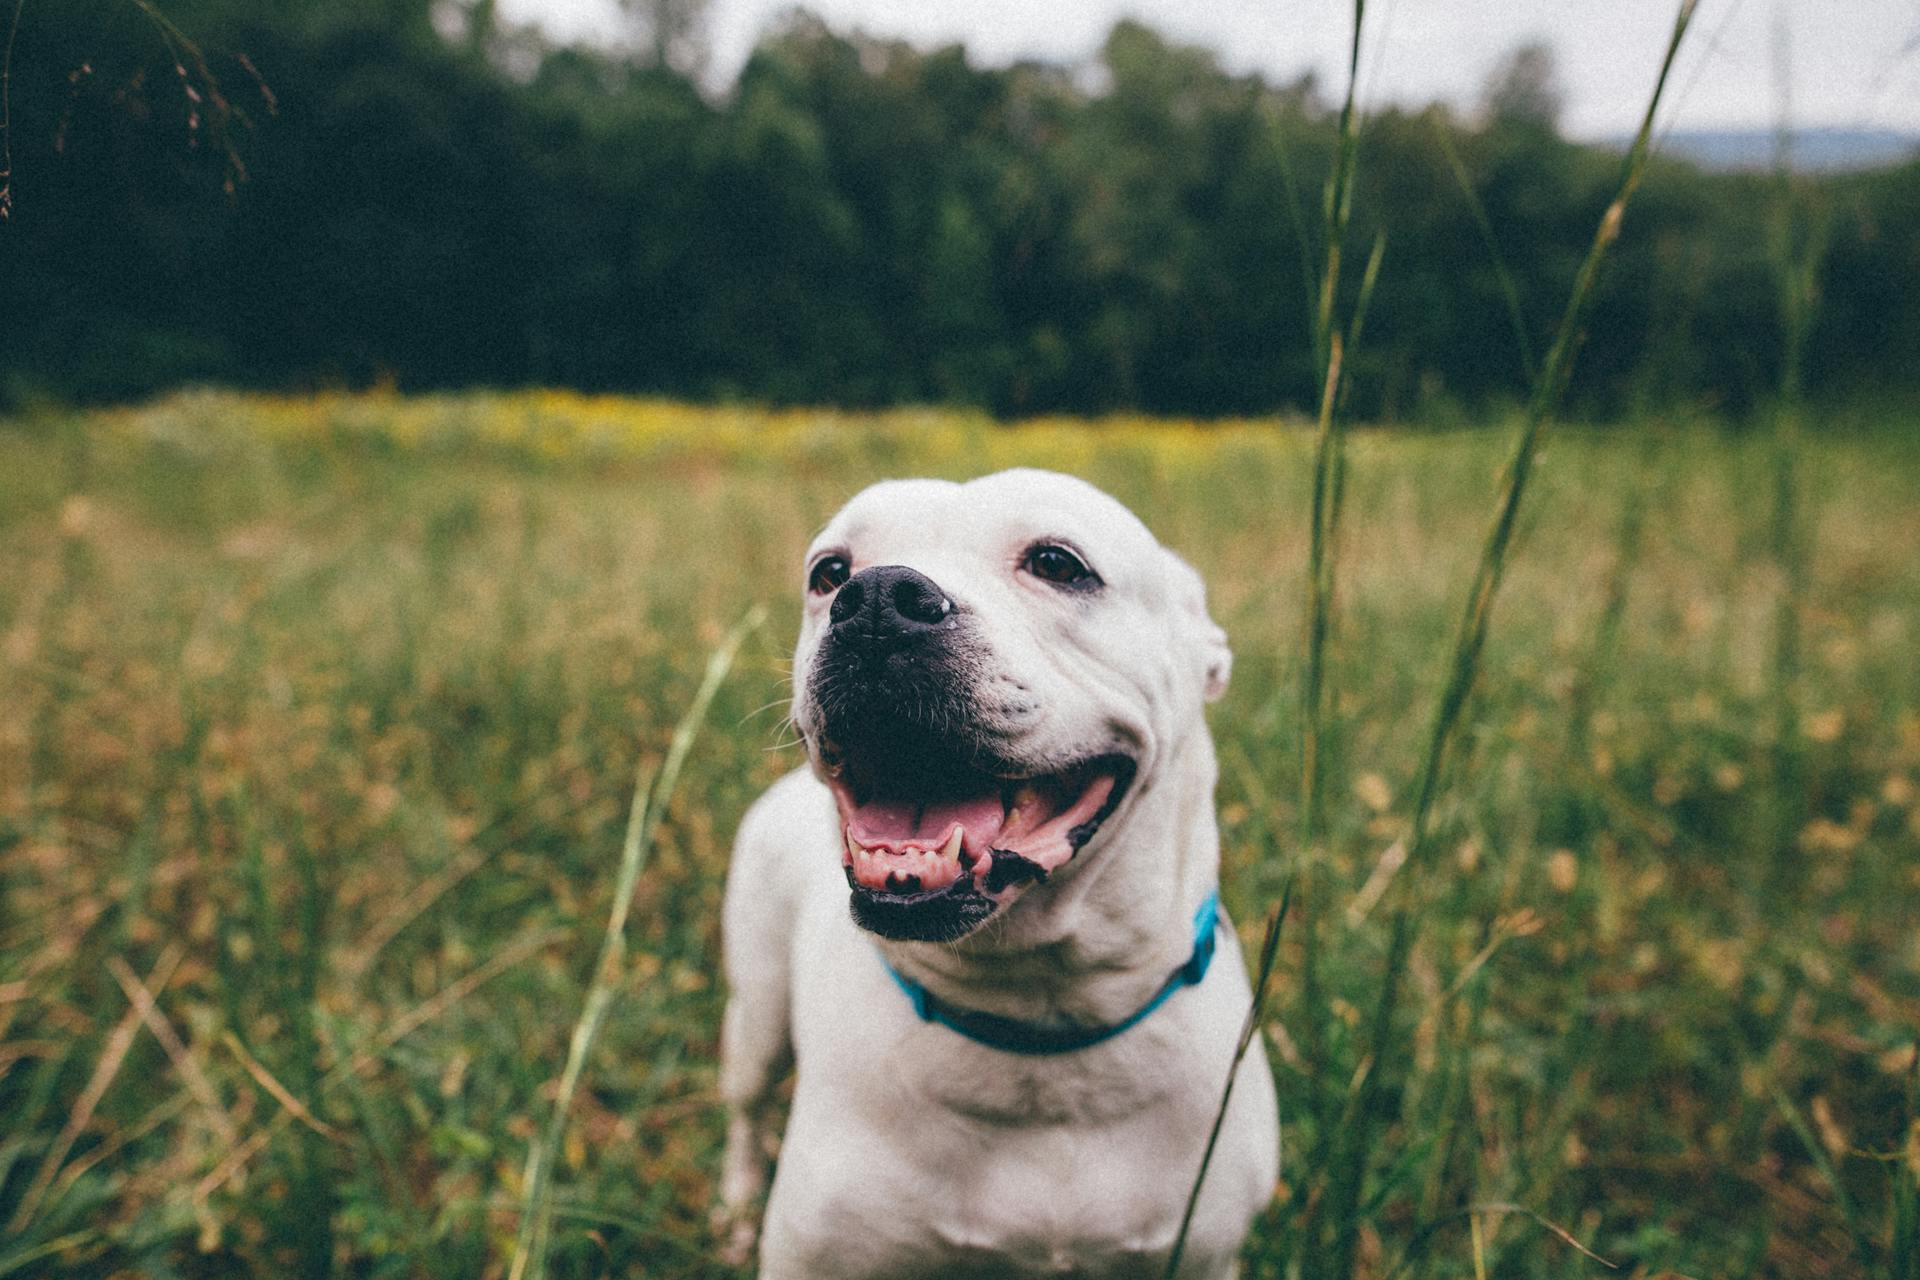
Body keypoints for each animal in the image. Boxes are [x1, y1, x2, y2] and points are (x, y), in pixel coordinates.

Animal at [718, 474, 1274, 1280]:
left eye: (1058, 564)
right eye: (828, 572)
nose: (876, 599)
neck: (1037, 1023)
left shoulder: (1200, 1253)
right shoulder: (813, 1258)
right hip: (756, 1008)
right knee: (745, 1101)